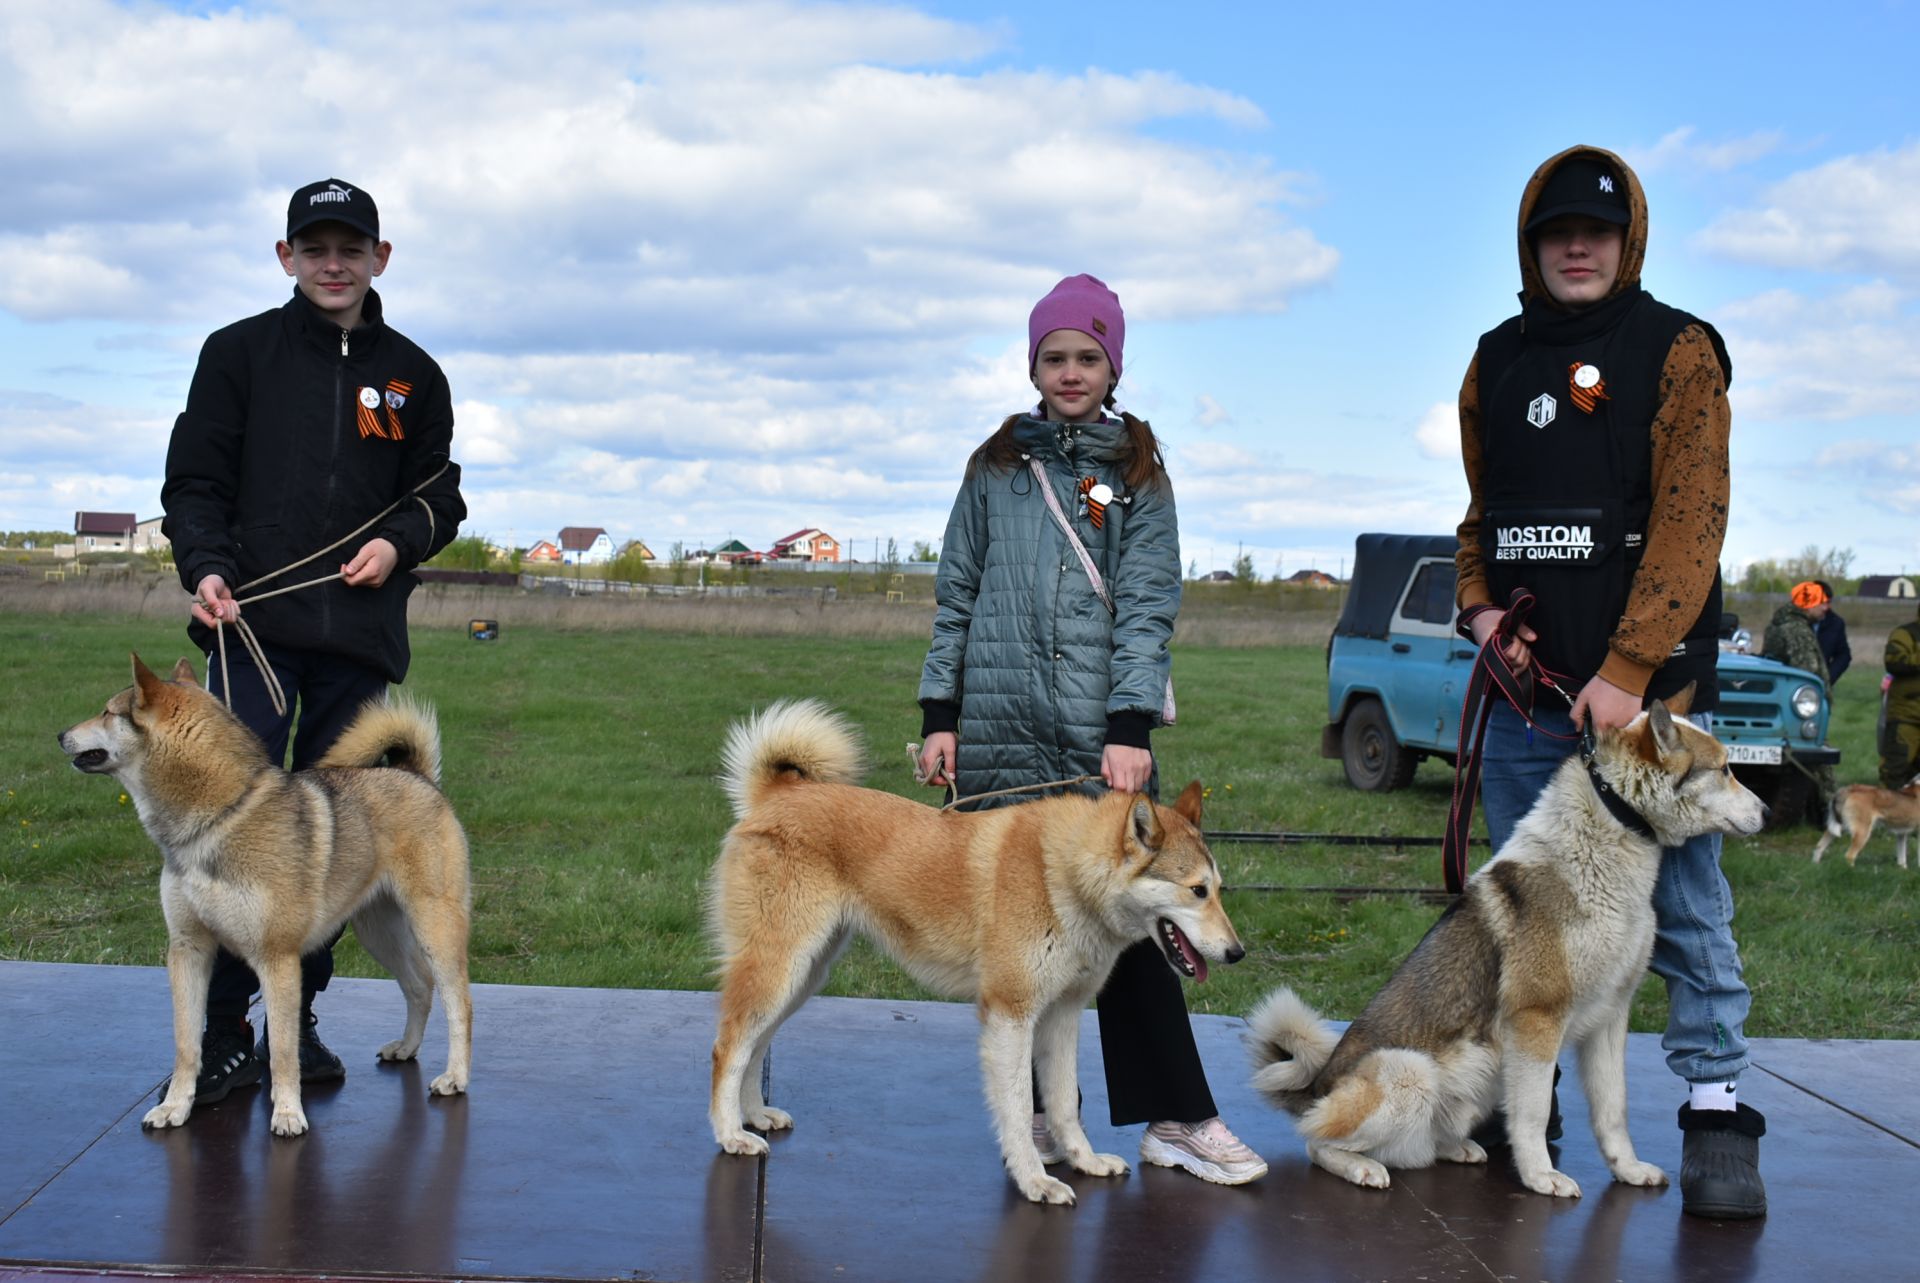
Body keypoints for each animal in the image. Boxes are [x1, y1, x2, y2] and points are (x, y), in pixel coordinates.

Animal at [56, 656, 476, 1137]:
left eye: (107, 712)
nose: (60, 734)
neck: (221, 816)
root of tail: (415, 776)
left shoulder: (278, 960)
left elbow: (282, 1049)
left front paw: (289, 1113)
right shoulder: (188, 950)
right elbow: (186, 1044)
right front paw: (177, 1106)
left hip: (434, 927)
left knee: (458, 1002)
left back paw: (455, 1077)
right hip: (378, 932)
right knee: (419, 986)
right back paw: (406, 1048)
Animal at [706, 695, 1244, 1206]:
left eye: (1219, 890)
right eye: (1197, 891)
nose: (1237, 953)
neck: (1062, 873)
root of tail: (779, 794)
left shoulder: (1062, 1015)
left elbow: (1063, 1105)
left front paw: (1084, 1161)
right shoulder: (1011, 1014)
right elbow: (1020, 1107)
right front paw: (1034, 1180)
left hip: (802, 975)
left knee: (756, 1045)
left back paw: (754, 1114)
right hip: (780, 969)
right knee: (729, 1047)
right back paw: (730, 1133)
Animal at [1251, 695, 1758, 1198]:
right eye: (1725, 769)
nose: (1767, 813)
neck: (1607, 840)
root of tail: (1315, 1088)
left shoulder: (1610, 1020)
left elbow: (1613, 1111)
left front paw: (1627, 1169)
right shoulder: (1537, 1019)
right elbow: (1533, 1113)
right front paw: (1540, 1176)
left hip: (1479, 1080)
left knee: (1419, 1142)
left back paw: (1456, 1148)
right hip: (1410, 1074)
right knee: (1318, 1142)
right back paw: (1362, 1168)